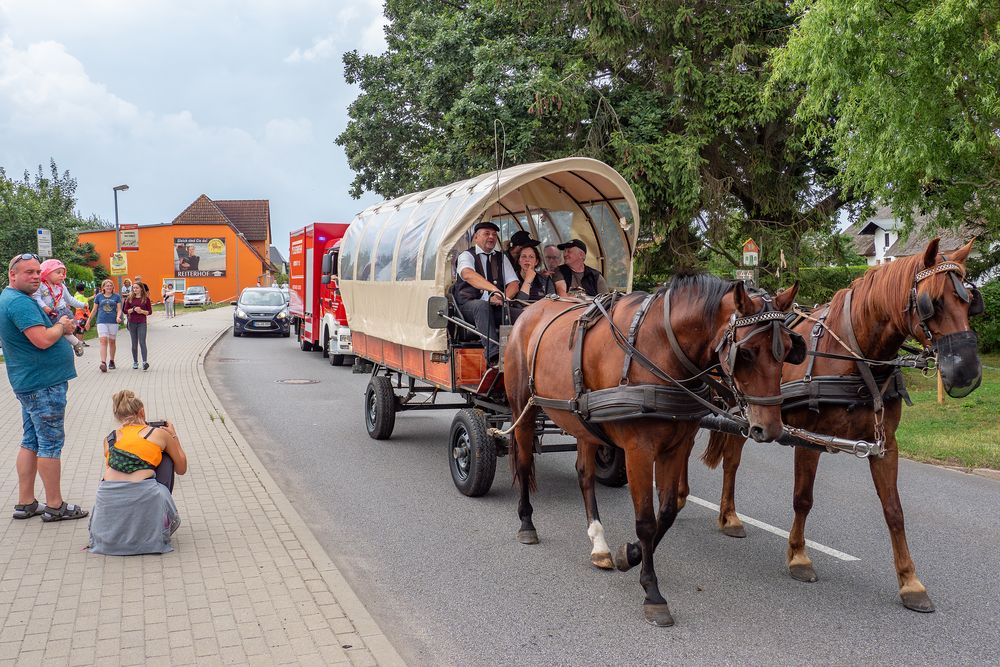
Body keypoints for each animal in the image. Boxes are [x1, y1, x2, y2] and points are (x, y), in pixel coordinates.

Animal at [504, 272, 800, 628]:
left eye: (787, 351)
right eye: (747, 353)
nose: (769, 429)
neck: (659, 349)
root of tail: (529, 311)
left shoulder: (678, 446)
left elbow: (667, 513)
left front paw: (628, 555)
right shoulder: (638, 450)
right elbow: (646, 521)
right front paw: (652, 591)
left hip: (583, 421)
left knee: (585, 476)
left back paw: (599, 544)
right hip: (522, 407)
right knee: (523, 463)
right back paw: (526, 524)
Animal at [692, 237, 980, 612]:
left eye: (970, 301)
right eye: (932, 302)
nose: (968, 373)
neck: (856, 357)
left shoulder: (885, 445)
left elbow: (894, 511)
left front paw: (910, 582)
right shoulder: (808, 439)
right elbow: (803, 498)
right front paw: (799, 556)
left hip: (746, 415)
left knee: (731, 461)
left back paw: (729, 516)